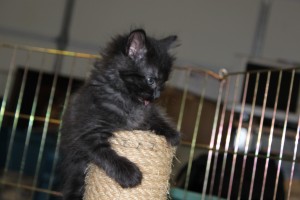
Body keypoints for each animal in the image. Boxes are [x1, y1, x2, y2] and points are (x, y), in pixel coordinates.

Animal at [59, 28, 179, 199]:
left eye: (163, 84)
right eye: (151, 80)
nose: (157, 95)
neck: (126, 99)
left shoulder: (147, 113)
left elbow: (155, 117)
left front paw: (172, 134)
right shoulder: (85, 134)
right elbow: (105, 153)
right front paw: (129, 174)